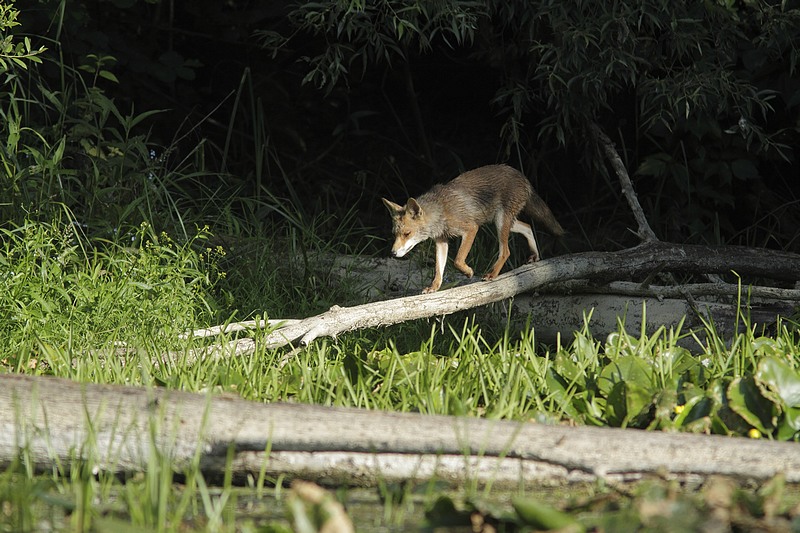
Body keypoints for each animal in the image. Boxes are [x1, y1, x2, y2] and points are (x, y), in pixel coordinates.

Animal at [382, 164, 565, 293]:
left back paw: (492, 274)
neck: (441, 211)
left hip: (500, 223)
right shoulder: (441, 241)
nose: (392, 253)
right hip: (504, 223)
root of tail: (520, 175)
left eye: (407, 233)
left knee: (506, 251)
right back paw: (535, 255)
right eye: (394, 234)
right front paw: (434, 287)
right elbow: (438, 269)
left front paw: (468, 272)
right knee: (528, 227)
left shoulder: (471, 228)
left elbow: (457, 260)